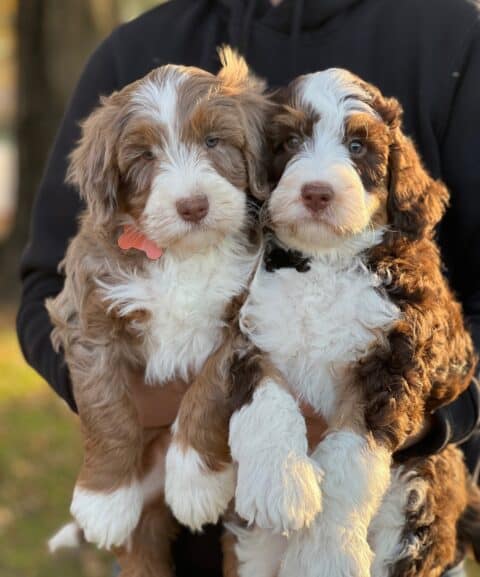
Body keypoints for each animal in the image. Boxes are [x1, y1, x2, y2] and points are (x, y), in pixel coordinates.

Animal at [47, 50, 322, 576]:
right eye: (144, 157)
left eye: (213, 141)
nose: (193, 205)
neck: (182, 255)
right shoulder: (89, 313)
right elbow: (106, 407)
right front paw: (103, 499)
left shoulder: (243, 316)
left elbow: (207, 390)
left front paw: (195, 481)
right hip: (145, 528)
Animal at [228, 71, 476, 576]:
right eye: (290, 142)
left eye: (358, 147)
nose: (317, 192)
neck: (325, 262)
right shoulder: (249, 332)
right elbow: (266, 397)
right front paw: (279, 485)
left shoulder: (396, 361)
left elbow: (349, 458)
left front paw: (326, 553)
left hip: (420, 495)